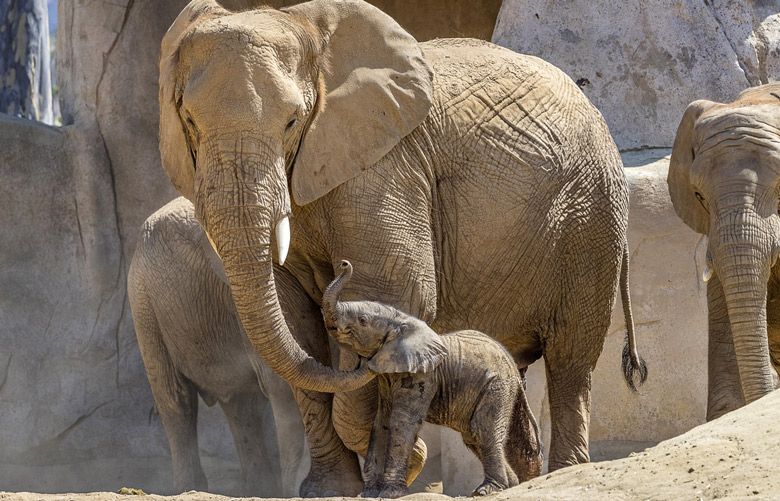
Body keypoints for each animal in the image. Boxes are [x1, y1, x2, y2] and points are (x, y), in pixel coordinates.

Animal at [128, 197, 316, 494]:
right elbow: (285, 384)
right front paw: (297, 489)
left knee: (242, 406)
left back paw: (259, 489)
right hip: (144, 304)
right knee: (177, 399)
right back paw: (190, 488)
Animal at [322, 260, 544, 498]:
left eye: (362, 321)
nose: (344, 263)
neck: (401, 320)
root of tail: (514, 367)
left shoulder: (424, 375)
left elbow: (401, 421)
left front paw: (390, 493)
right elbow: (381, 422)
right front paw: (369, 494)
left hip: (497, 385)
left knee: (482, 430)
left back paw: (487, 490)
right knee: (472, 436)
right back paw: (509, 485)